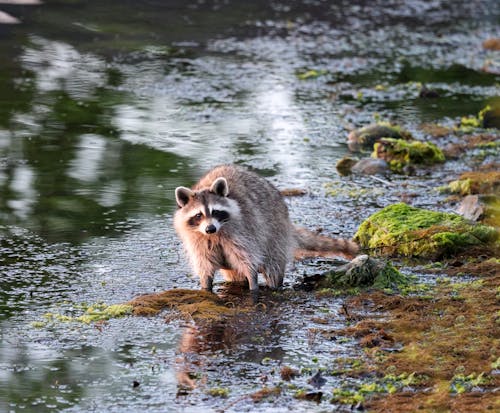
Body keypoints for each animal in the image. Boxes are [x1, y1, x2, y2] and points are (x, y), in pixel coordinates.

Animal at [174, 163, 358, 292]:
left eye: (215, 212)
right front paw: (205, 287)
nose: (210, 228)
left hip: (275, 233)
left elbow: (249, 261)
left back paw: (275, 285)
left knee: (273, 265)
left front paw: (253, 285)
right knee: (235, 275)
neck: (214, 235)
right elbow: (205, 266)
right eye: (199, 215)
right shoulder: (198, 240)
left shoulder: (244, 231)